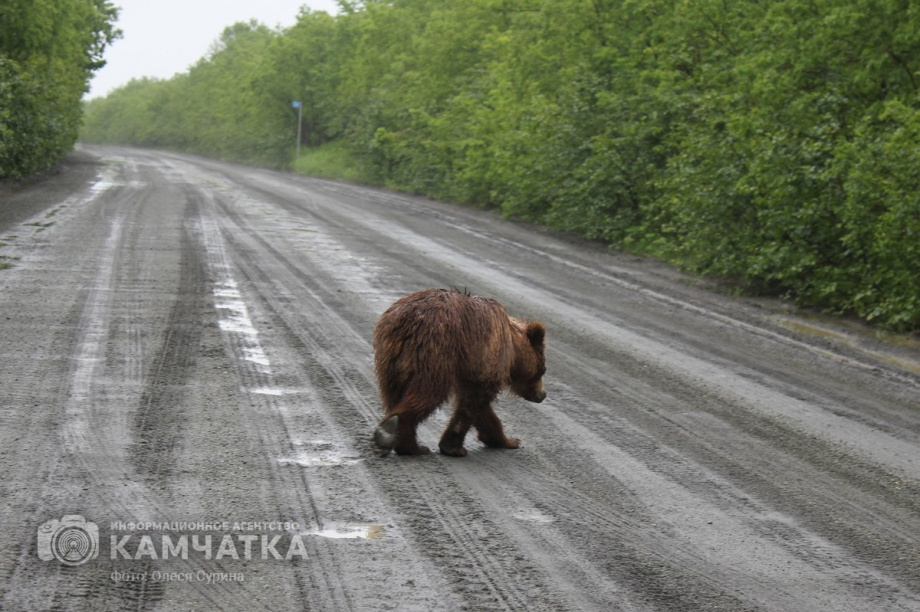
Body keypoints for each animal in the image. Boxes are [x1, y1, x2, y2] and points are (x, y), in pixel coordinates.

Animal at [372, 290, 548, 456]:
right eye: (543, 370)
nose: (542, 394)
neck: (512, 347)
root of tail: (406, 325)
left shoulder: (469, 368)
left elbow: (480, 407)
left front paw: (506, 440)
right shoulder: (485, 355)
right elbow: (475, 400)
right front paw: (453, 447)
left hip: (389, 357)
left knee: (393, 393)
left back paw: (400, 439)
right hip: (436, 351)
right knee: (428, 393)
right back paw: (403, 440)